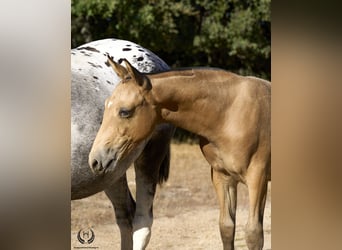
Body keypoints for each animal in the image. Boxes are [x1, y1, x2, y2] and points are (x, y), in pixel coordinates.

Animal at [89, 58, 272, 250]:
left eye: (125, 111)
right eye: (106, 106)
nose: (95, 160)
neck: (228, 114)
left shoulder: (257, 177)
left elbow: (253, 233)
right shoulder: (223, 177)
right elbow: (227, 227)